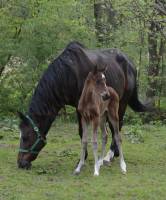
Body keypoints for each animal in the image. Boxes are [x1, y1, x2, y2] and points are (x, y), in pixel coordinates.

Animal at [17, 41, 150, 170]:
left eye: (25, 137)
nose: (21, 163)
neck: (69, 73)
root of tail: (131, 64)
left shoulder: (80, 108)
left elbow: (82, 132)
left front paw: (82, 160)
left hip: (121, 104)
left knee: (117, 127)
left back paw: (109, 155)